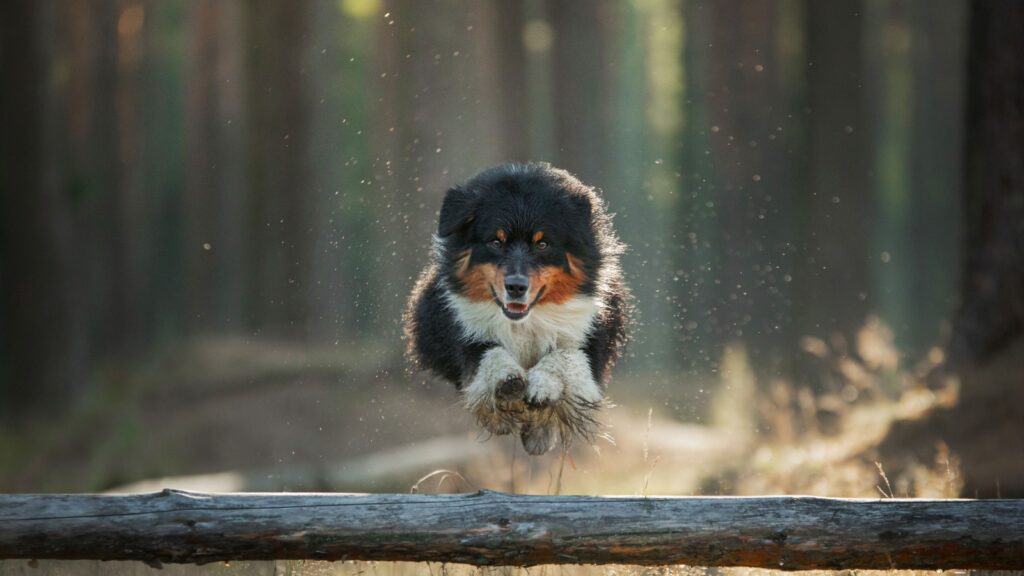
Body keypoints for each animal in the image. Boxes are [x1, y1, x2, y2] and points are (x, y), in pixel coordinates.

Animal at [403, 161, 626, 453]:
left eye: (542, 243)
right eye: (496, 242)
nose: (516, 287)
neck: (526, 321)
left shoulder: (592, 339)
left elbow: (567, 355)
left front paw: (543, 385)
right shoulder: (463, 331)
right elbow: (487, 353)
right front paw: (507, 381)